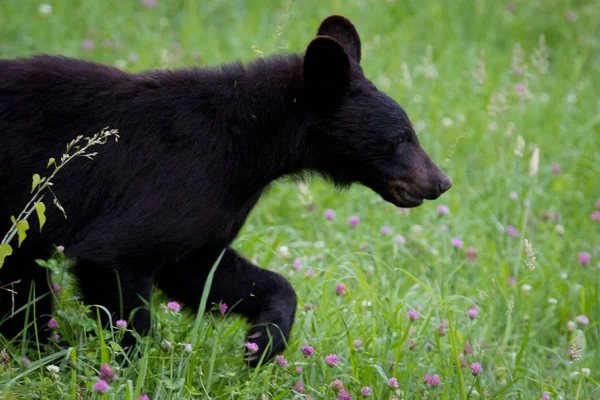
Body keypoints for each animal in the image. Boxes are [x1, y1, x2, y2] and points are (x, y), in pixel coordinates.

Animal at [0, 16, 450, 366]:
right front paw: (126, 366)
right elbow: (117, 260)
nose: (441, 182)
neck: (248, 140)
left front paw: (262, 343)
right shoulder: (171, 181)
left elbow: (206, 269)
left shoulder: (210, 204)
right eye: (400, 138)